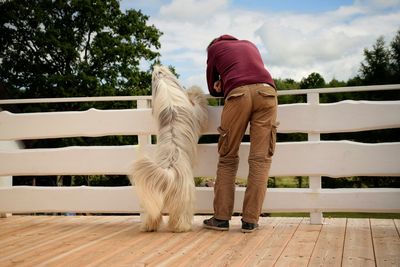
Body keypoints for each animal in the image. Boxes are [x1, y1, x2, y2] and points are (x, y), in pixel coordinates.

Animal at [130, 65, 208, 232]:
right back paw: (181, 227)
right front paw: (194, 90)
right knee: (181, 214)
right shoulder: (198, 115)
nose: (156, 66)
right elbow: (199, 105)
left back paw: (149, 226)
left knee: (153, 213)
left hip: (153, 193)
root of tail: (169, 173)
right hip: (184, 196)